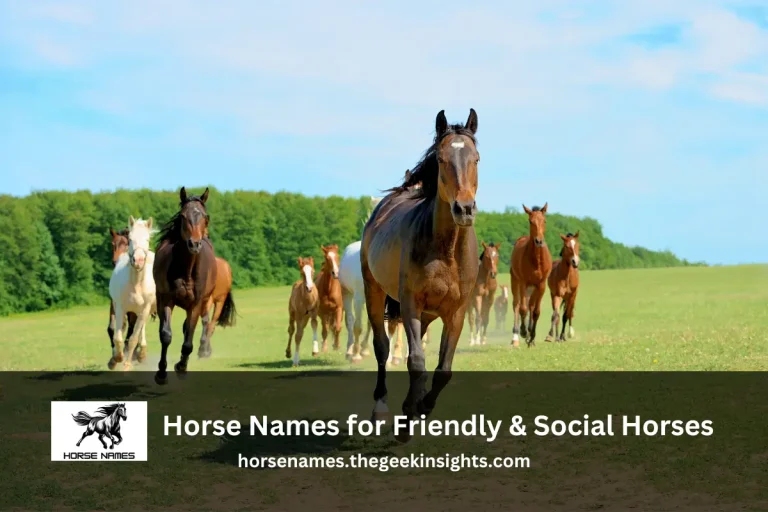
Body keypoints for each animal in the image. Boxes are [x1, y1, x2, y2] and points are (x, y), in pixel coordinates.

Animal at [108, 217, 156, 370]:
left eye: (147, 239)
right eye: (130, 239)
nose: (138, 260)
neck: (136, 283)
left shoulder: (143, 310)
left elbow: (133, 337)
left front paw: (128, 363)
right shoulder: (118, 307)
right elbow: (116, 334)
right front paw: (116, 358)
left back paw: (140, 354)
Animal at [153, 187, 218, 385]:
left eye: (205, 216)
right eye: (182, 216)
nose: (194, 244)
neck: (187, 269)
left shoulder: (196, 304)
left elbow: (188, 340)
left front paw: (181, 367)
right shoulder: (166, 300)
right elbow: (166, 335)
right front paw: (161, 373)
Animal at [361, 108, 480, 440]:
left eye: (476, 158)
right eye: (441, 159)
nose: (464, 209)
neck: (446, 251)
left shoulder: (456, 312)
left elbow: (441, 370)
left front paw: (421, 408)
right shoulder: (410, 303)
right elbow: (415, 361)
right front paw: (407, 418)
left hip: (427, 314)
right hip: (373, 291)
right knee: (383, 348)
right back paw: (382, 409)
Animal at [509, 204, 552, 348]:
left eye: (544, 221)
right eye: (530, 221)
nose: (538, 241)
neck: (537, 261)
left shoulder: (541, 285)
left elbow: (535, 311)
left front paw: (532, 337)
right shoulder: (523, 282)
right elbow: (523, 309)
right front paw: (524, 332)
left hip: (533, 288)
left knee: (531, 305)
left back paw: (529, 335)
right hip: (516, 281)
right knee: (517, 304)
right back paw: (517, 335)